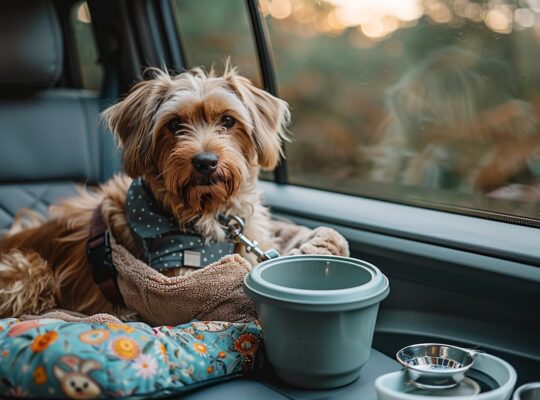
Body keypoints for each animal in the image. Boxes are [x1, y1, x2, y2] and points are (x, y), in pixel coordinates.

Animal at [0, 65, 292, 318]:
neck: (210, 211)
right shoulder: (181, 276)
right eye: (174, 124)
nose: (206, 162)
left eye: (228, 120)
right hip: (30, 269)